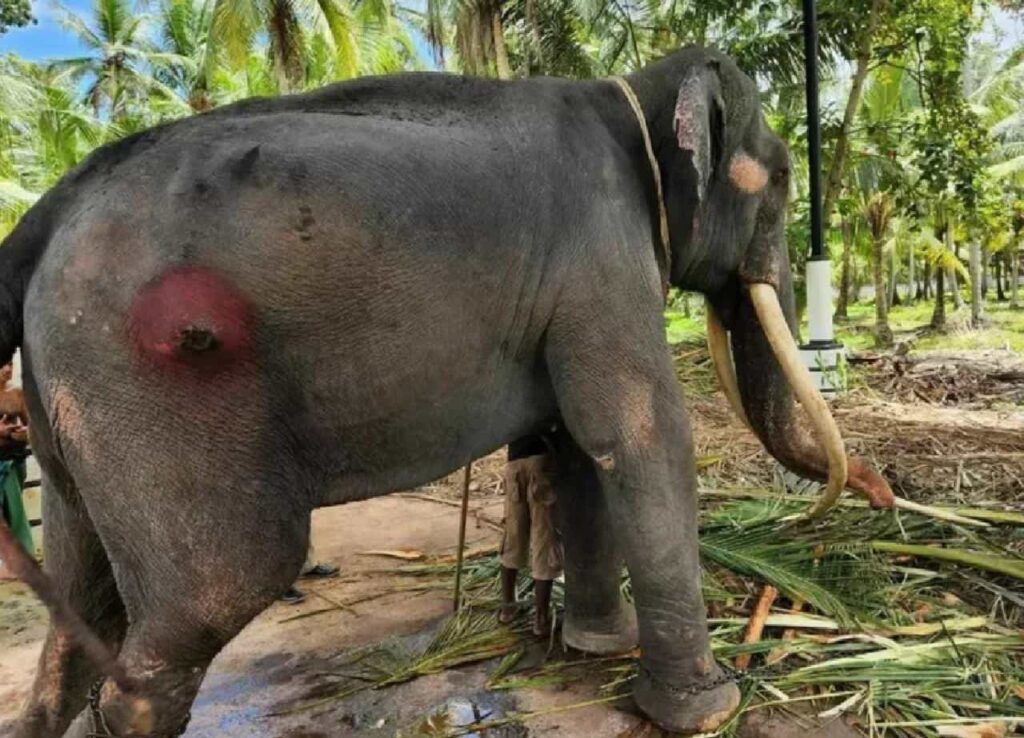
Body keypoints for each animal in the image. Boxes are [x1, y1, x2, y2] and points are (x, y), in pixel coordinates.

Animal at [0, 45, 895, 737]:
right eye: (784, 177)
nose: (882, 491)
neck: (632, 94)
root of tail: (40, 219)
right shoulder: (603, 253)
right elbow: (639, 438)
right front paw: (705, 711)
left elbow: (576, 450)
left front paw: (596, 648)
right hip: (150, 388)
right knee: (214, 594)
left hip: (76, 404)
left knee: (80, 608)